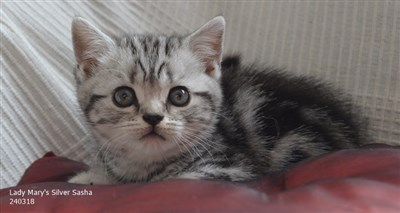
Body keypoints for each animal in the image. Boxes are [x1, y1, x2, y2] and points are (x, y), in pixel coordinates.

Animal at [69, 16, 366, 185]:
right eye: (123, 96)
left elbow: (179, 180)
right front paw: (91, 177)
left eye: (179, 95)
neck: (141, 167)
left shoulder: (235, 170)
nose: (153, 117)